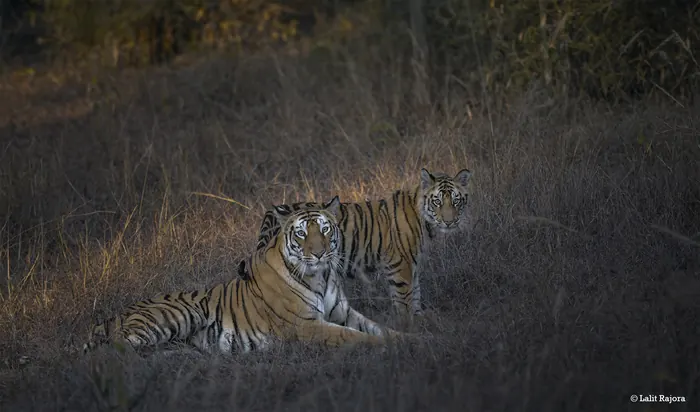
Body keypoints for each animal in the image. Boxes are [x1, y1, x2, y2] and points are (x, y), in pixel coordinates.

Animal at [83, 196, 404, 355]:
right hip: (179, 314)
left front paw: (411, 337)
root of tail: (118, 314)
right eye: (302, 233)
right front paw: (387, 347)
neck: (321, 276)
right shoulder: (306, 325)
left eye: (325, 229)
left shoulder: (345, 312)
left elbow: (380, 328)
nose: (319, 254)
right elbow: (354, 336)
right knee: (112, 350)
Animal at [248, 168, 472, 317]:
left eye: (456, 200)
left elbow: (416, 297)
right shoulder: (400, 266)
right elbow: (406, 301)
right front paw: (411, 327)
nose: (450, 221)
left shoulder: (413, 266)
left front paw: (421, 322)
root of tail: (270, 214)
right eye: (437, 202)